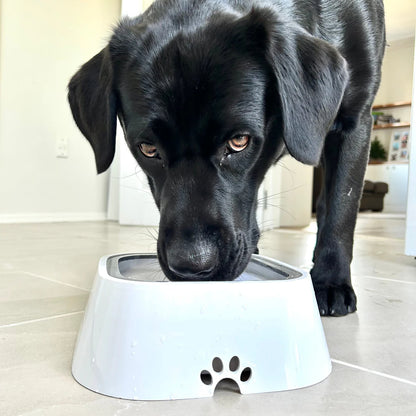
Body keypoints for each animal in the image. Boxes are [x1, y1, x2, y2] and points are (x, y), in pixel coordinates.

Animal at [67, 0, 384, 316]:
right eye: (148, 148)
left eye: (239, 141)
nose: (191, 265)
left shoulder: (356, 120)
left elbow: (342, 207)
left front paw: (331, 281)